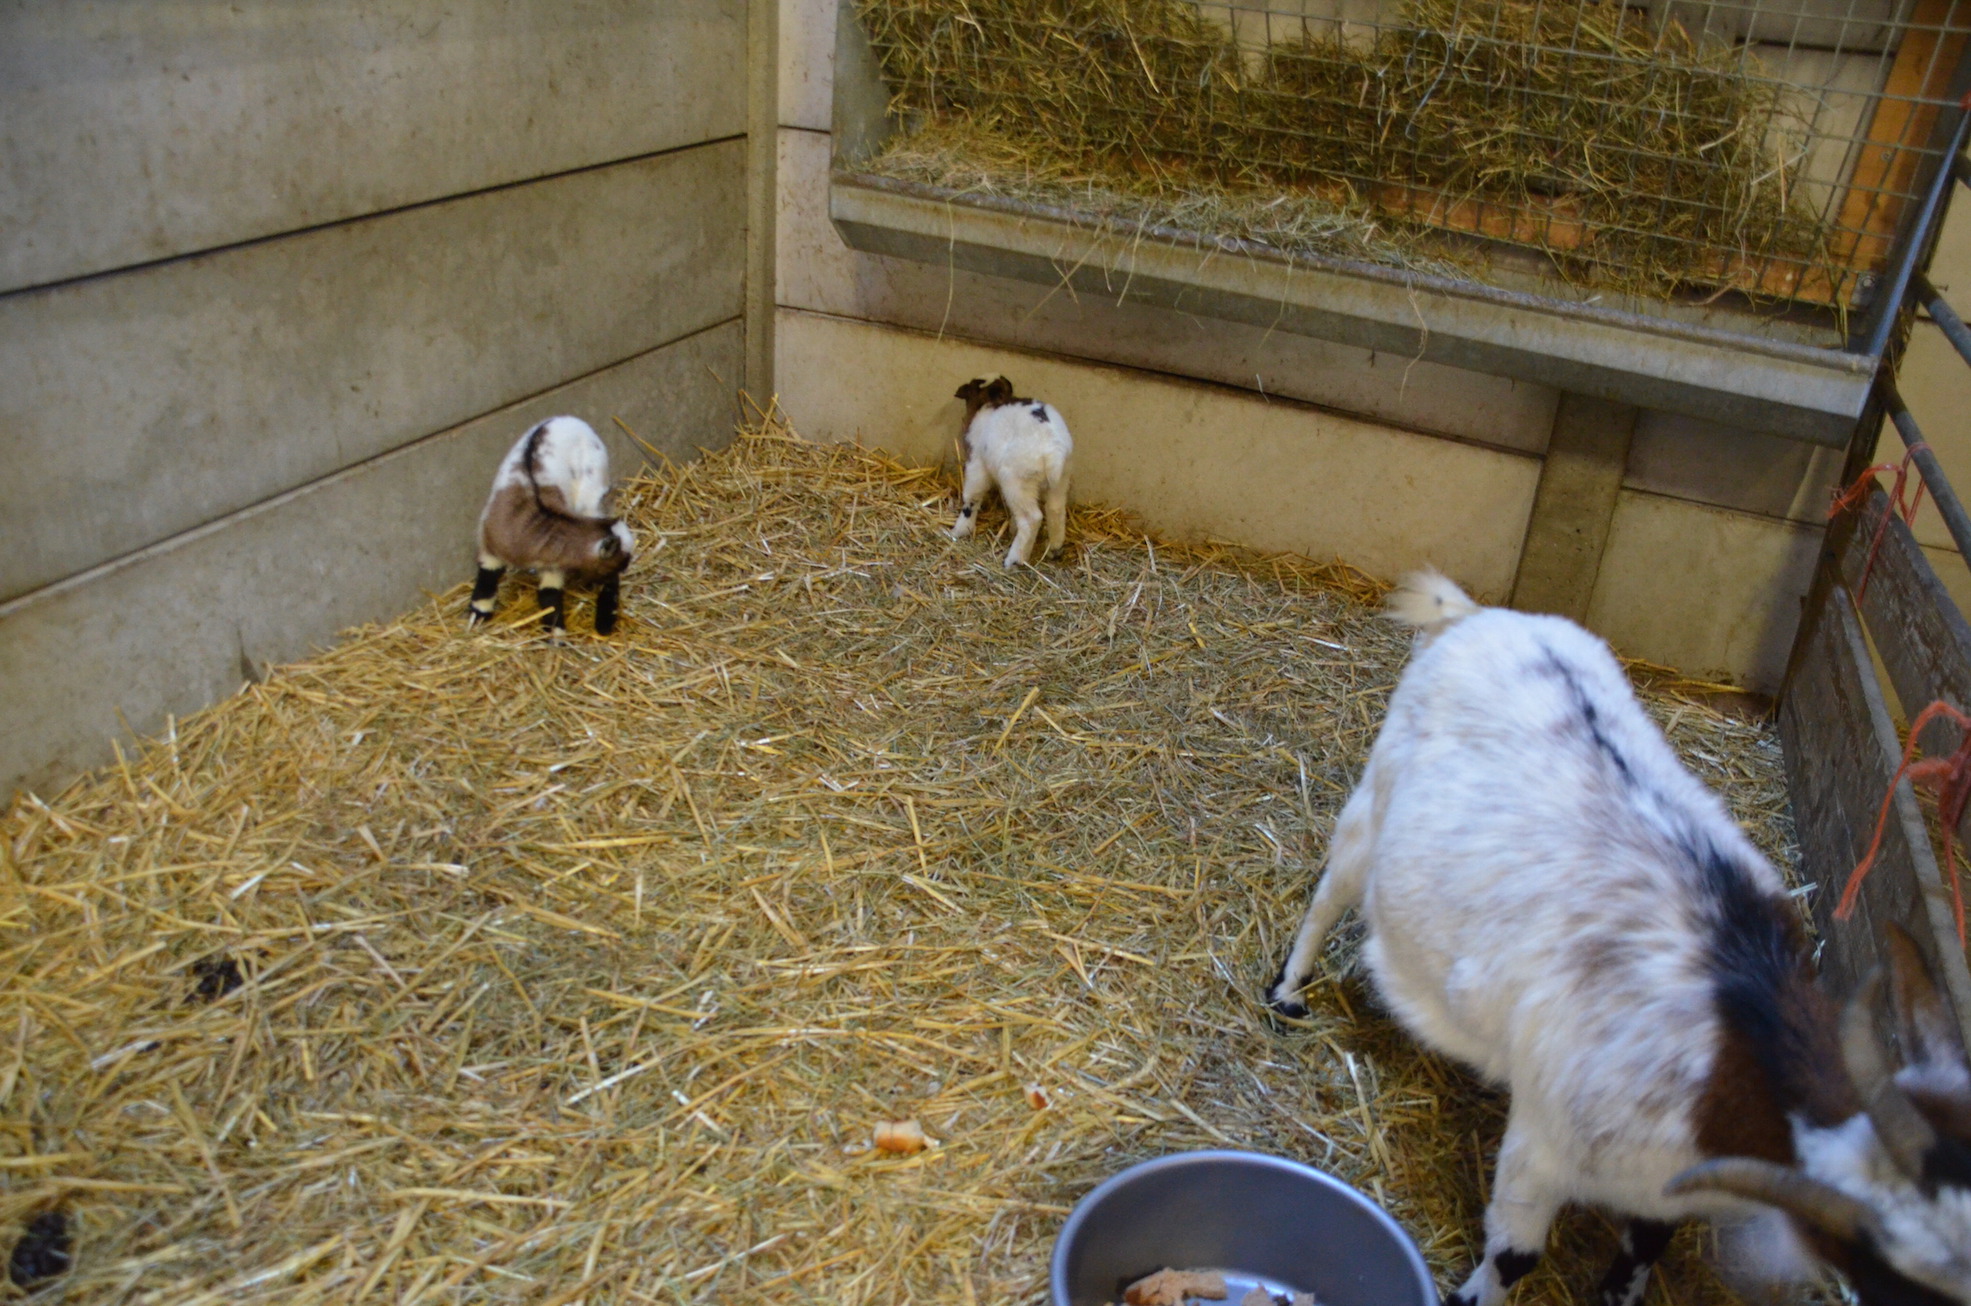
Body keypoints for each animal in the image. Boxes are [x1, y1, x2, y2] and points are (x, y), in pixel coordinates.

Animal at [468, 416, 634, 636]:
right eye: (622, 561)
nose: (625, 569)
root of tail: (570, 419)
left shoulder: (552, 563)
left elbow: (550, 596)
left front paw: (556, 634)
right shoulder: (491, 546)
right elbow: (488, 576)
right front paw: (478, 615)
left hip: (593, 489)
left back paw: (604, 621)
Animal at [949, 376, 1073, 568]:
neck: (989, 404)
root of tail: (1054, 451)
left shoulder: (977, 464)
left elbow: (972, 496)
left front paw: (961, 529)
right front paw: (1013, 528)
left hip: (1018, 481)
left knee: (1032, 518)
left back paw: (1014, 559)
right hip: (1060, 480)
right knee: (1056, 509)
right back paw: (1054, 548)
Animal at [1264, 570, 1971, 1306]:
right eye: (1899, 1277)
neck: (1730, 1046)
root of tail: (1477, 617)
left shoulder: (1667, 1185)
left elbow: (1646, 1244)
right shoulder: (1544, 1146)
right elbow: (1515, 1254)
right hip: (1375, 797)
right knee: (1331, 890)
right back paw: (1287, 993)